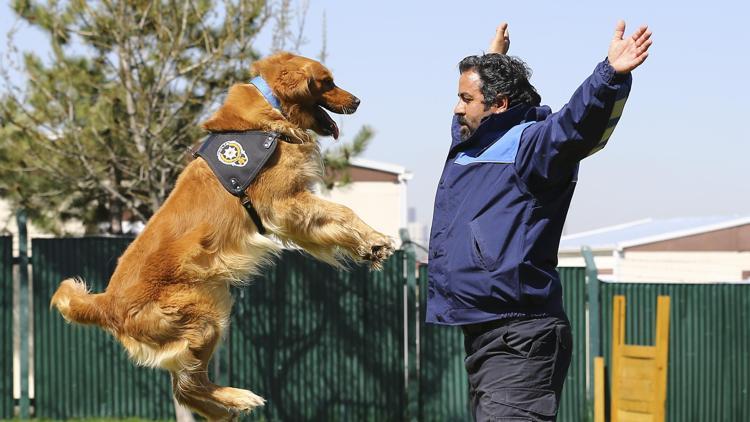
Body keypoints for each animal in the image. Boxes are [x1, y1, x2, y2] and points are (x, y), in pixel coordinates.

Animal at [50, 52, 396, 418]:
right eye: (327, 82)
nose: (357, 101)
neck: (270, 112)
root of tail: (105, 303)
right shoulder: (284, 203)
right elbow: (342, 211)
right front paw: (377, 240)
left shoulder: (294, 212)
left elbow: (335, 222)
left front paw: (369, 247)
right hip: (206, 315)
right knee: (188, 386)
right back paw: (238, 399)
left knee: (186, 388)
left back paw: (222, 410)